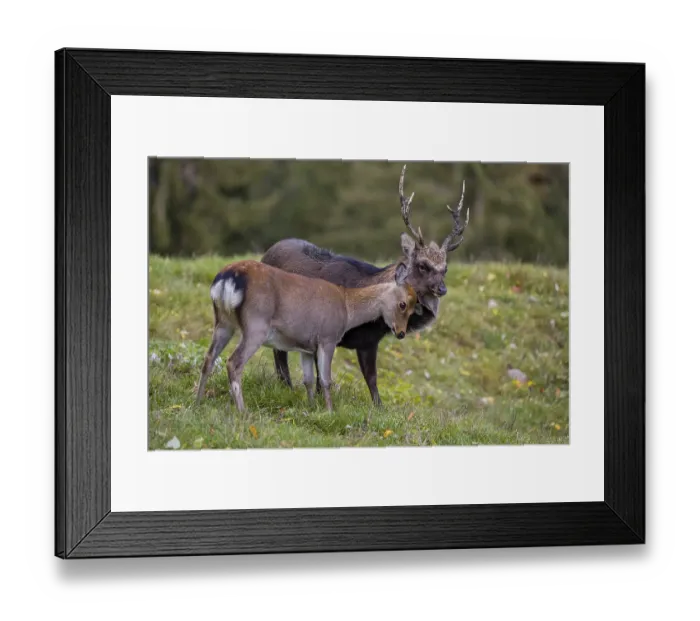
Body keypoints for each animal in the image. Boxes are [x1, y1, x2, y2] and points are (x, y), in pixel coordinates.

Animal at [195, 259, 419, 412]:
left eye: (414, 307)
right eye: (403, 304)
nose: (401, 333)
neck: (347, 309)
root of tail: (228, 277)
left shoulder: (306, 347)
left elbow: (308, 379)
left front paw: (311, 408)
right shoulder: (328, 338)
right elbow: (326, 380)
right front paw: (330, 411)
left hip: (223, 322)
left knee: (209, 358)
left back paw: (197, 401)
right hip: (255, 325)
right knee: (233, 362)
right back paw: (243, 411)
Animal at [260, 165, 470, 406]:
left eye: (445, 268)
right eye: (422, 266)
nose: (442, 289)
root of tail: (268, 252)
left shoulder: (369, 342)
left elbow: (371, 379)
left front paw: (379, 407)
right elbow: (324, 373)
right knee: (279, 353)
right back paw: (285, 386)